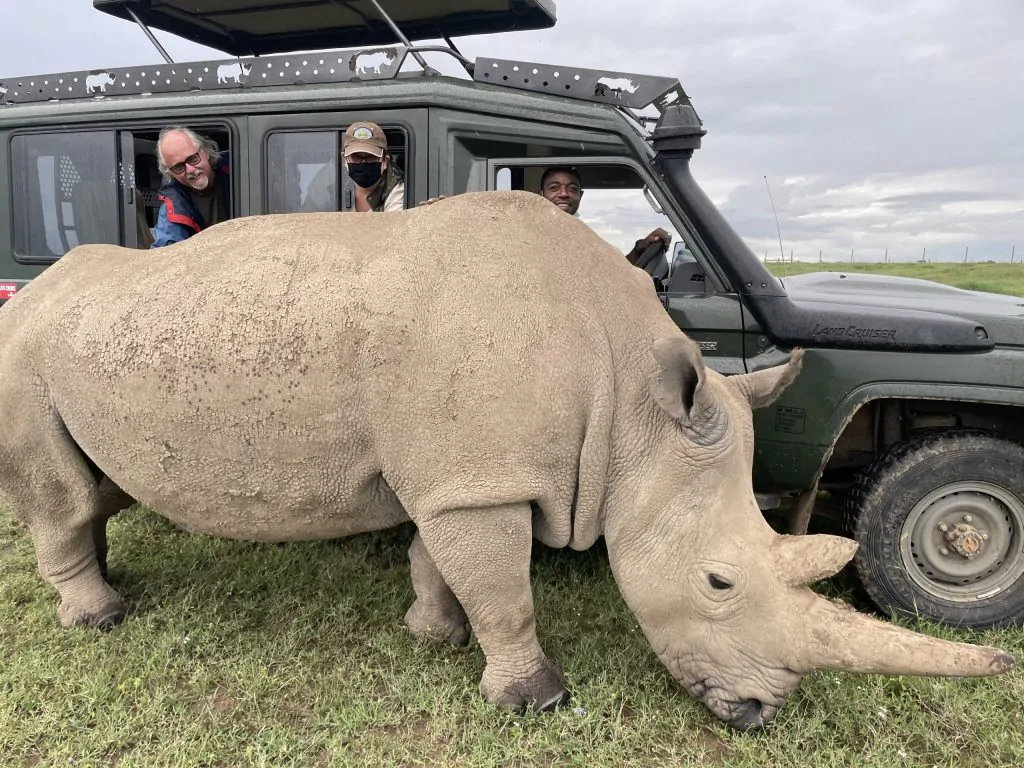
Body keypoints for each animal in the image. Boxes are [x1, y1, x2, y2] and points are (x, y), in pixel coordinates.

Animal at [0, 190, 1013, 729]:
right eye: (719, 582)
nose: (760, 716)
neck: (634, 409)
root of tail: (31, 290)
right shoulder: (475, 485)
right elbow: (505, 589)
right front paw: (534, 699)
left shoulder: (458, 476)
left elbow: (441, 564)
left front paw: (433, 635)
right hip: (24, 347)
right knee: (57, 493)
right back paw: (100, 618)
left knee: (88, 491)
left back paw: (108, 583)